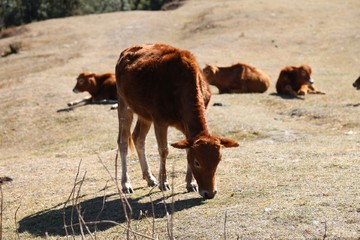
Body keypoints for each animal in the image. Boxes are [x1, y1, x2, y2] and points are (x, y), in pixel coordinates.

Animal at [115, 43, 239, 199]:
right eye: (197, 162)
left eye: (219, 160)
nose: (210, 193)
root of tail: (126, 51)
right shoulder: (159, 119)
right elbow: (163, 150)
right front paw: (164, 183)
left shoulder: (185, 125)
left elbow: (187, 148)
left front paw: (190, 183)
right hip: (123, 103)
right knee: (123, 141)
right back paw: (126, 184)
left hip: (144, 114)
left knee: (138, 137)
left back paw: (150, 178)